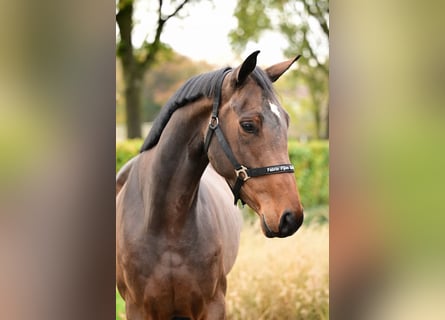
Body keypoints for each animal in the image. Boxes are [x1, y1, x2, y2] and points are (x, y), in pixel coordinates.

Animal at [116, 51, 304, 318]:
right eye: (248, 125)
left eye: (286, 121)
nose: (291, 217)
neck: (165, 224)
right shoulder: (137, 309)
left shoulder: (213, 304)